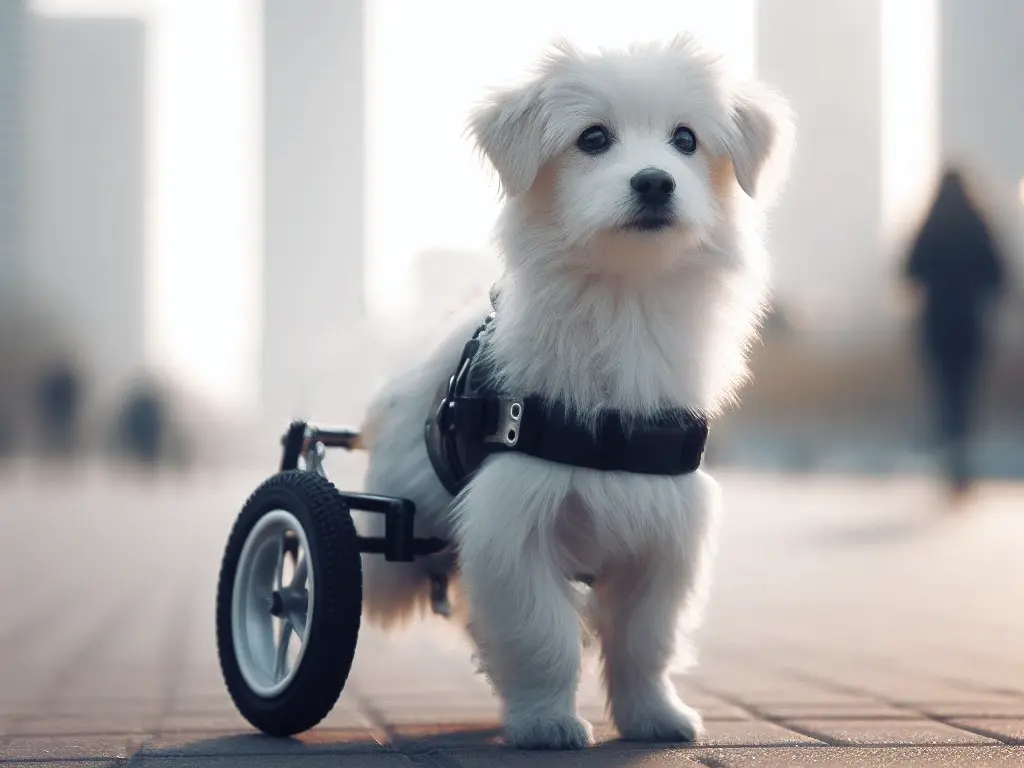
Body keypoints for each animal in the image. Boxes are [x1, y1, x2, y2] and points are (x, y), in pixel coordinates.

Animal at [356, 36, 794, 753]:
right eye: (592, 138)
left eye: (685, 139)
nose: (654, 181)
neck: (625, 303)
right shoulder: (513, 525)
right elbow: (541, 636)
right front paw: (545, 723)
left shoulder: (668, 535)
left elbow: (645, 641)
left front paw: (654, 717)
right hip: (392, 543)